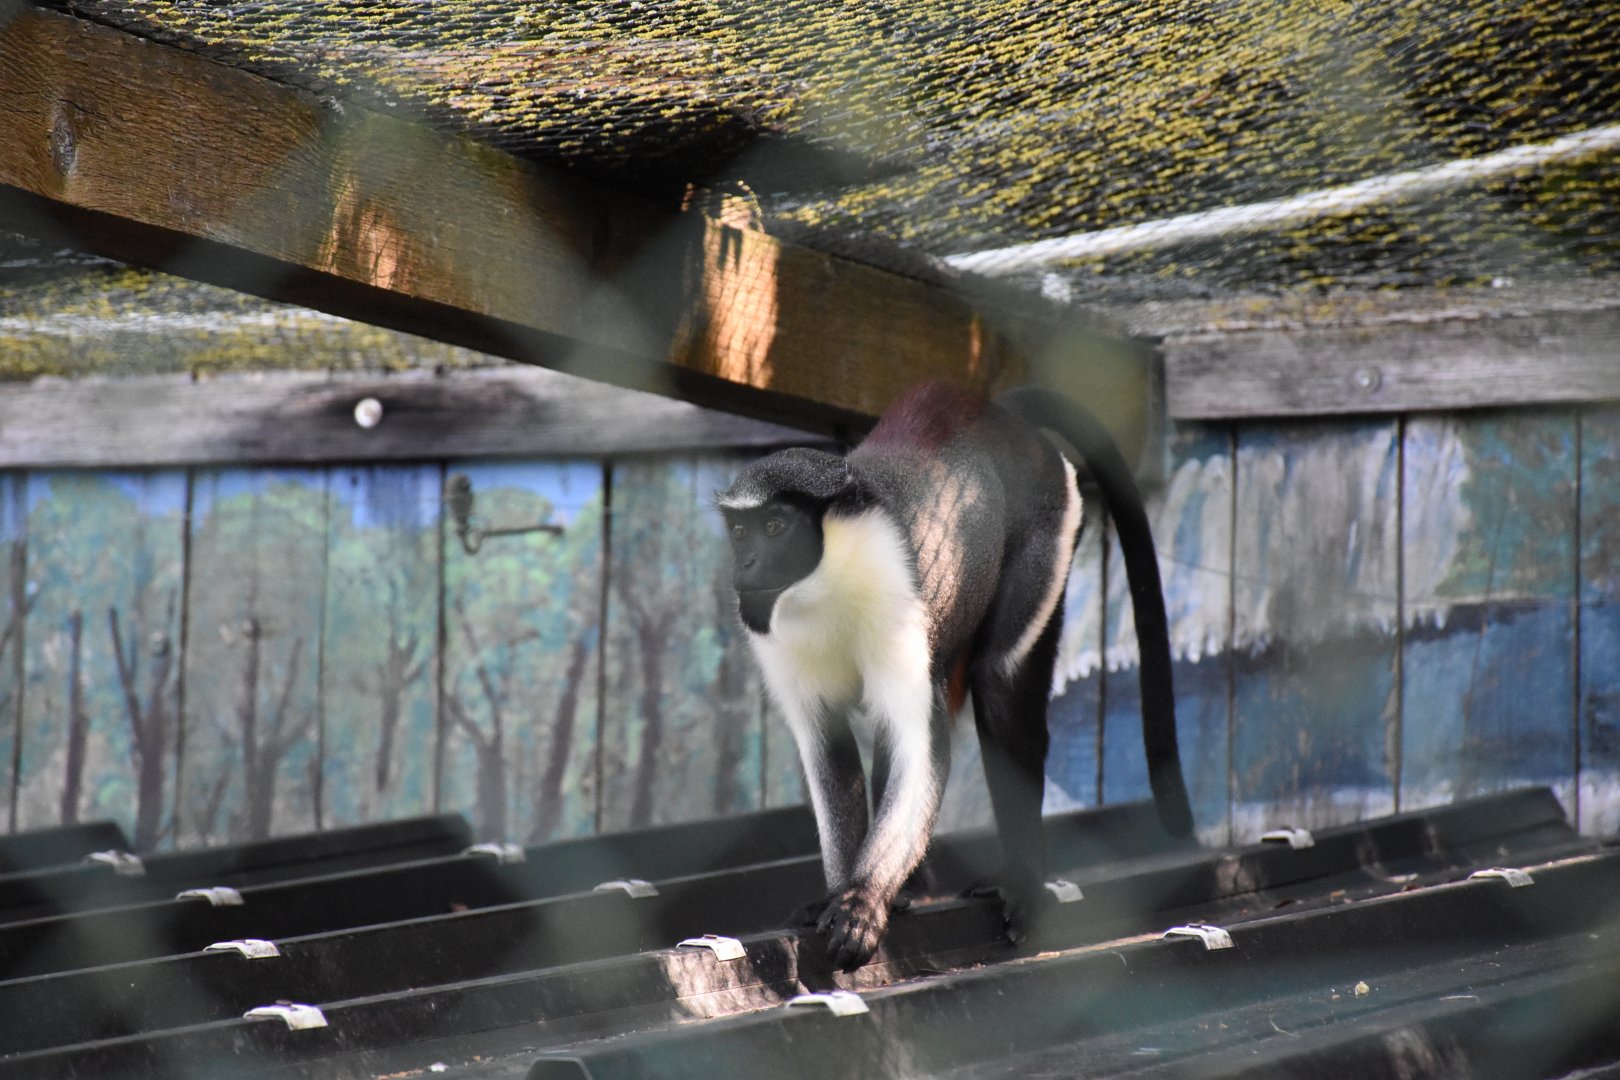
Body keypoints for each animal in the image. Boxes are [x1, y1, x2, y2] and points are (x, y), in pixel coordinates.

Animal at [716, 382, 1193, 970]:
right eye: (739, 531)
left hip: (1047, 526)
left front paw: (863, 901)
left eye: (775, 527)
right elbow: (829, 748)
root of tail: (1001, 415)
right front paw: (838, 895)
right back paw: (908, 889)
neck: (827, 580)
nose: (745, 566)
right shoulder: (770, 630)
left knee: (1001, 680)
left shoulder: (897, 603)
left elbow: (920, 747)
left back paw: (1019, 880)